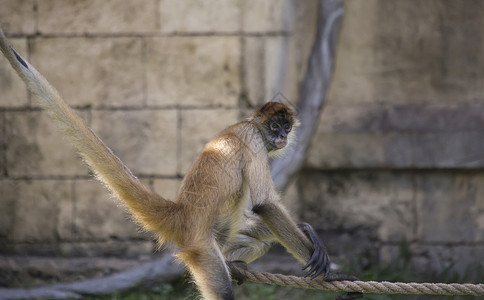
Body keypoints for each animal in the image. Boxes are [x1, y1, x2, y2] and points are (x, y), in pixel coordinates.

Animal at [0, 27, 362, 298]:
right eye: (274, 127)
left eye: (286, 126)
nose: (283, 136)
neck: (250, 123)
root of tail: (182, 214)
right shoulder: (253, 140)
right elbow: (264, 204)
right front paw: (331, 275)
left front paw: (309, 231)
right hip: (203, 248)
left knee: (258, 238)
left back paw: (238, 265)